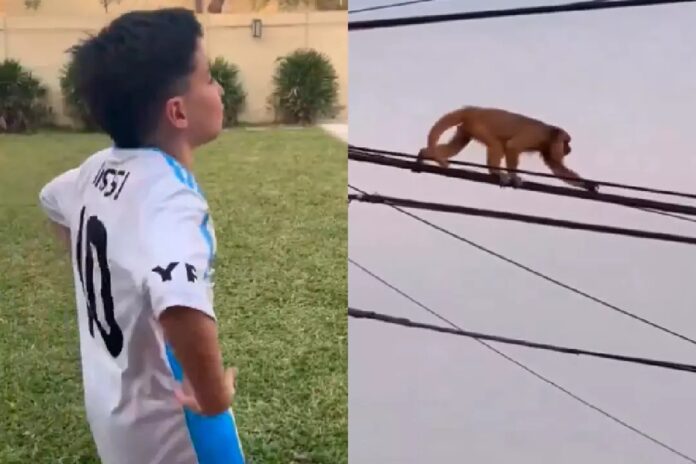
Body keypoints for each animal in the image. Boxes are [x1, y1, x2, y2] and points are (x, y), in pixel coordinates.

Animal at [416, 106, 599, 192]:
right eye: (567, 142)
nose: (569, 148)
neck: (549, 134)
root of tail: (473, 109)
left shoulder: (547, 147)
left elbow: (558, 168)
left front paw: (588, 185)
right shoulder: (536, 135)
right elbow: (513, 146)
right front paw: (513, 176)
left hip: (467, 127)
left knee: (457, 144)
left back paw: (423, 154)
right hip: (479, 125)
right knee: (496, 145)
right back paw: (495, 172)